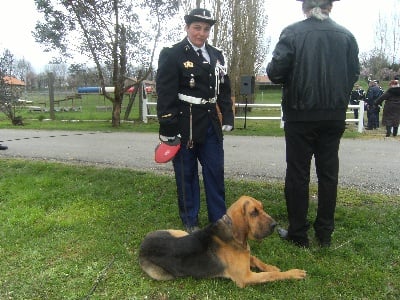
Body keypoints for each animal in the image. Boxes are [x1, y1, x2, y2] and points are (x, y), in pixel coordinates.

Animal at [138, 196, 306, 288]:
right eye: (253, 213)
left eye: (262, 208)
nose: (274, 225)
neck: (232, 233)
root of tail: (142, 247)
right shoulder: (246, 278)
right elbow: (271, 276)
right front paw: (293, 273)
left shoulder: (246, 256)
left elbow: (255, 259)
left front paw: (271, 266)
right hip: (162, 274)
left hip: (179, 232)